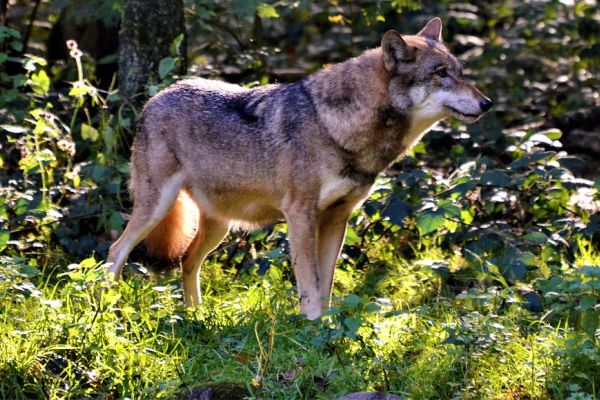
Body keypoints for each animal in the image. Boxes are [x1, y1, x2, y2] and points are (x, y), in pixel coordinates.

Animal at [106, 18, 492, 318]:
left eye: (460, 73)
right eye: (441, 74)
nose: (487, 103)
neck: (337, 127)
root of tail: (156, 97)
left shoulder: (337, 219)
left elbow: (327, 285)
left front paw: (328, 330)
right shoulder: (300, 216)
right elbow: (310, 284)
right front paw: (314, 331)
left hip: (220, 226)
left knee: (187, 261)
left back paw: (196, 318)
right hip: (157, 208)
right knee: (116, 252)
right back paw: (106, 309)